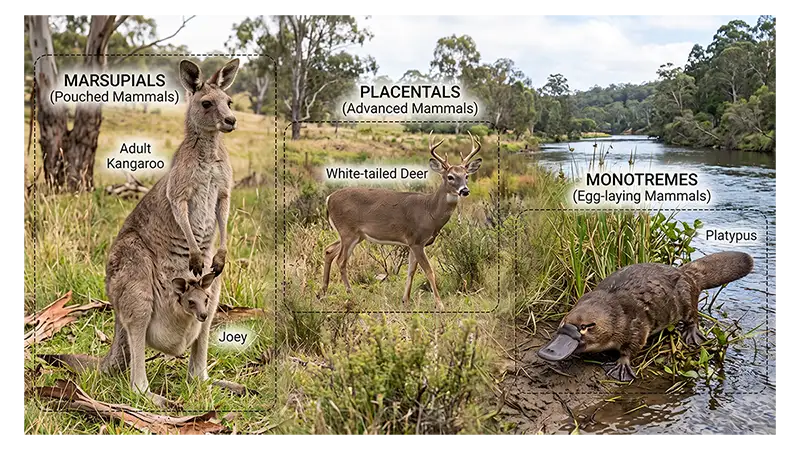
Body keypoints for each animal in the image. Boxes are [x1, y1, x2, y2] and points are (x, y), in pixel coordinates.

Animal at [321, 131, 482, 309]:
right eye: (450, 177)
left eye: (466, 176)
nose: (465, 190)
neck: (430, 211)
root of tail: (328, 199)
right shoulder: (417, 240)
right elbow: (429, 271)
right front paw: (439, 304)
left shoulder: (413, 244)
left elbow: (411, 271)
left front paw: (405, 300)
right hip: (348, 231)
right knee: (341, 260)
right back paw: (350, 294)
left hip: (354, 234)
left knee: (329, 250)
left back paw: (322, 292)